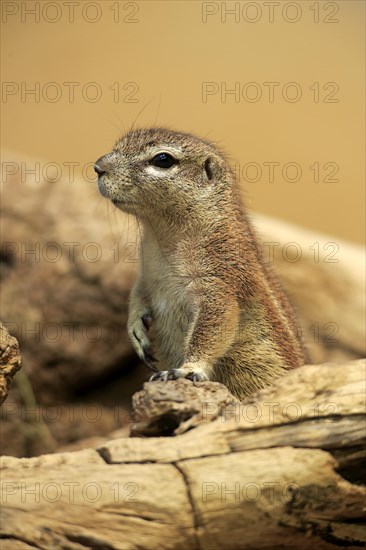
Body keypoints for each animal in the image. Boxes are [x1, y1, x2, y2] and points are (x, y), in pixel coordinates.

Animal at [96, 129, 308, 402]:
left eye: (163, 160)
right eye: (117, 145)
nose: (98, 167)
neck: (163, 238)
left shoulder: (219, 277)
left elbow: (213, 326)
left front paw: (188, 369)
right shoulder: (145, 273)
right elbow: (137, 295)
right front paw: (135, 330)